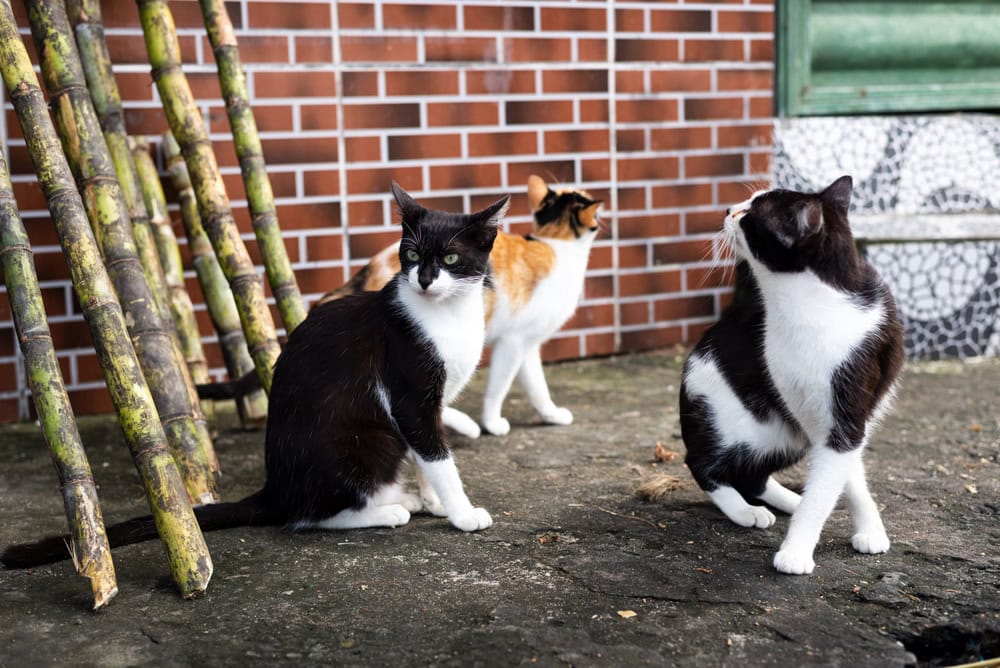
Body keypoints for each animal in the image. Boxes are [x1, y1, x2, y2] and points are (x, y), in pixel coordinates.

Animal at [1, 184, 508, 568]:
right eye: (412, 252)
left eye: (451, 259)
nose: (424, 279)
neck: (444, 315)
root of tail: (274, 487)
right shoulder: (408, 394)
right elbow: (436, 455)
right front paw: (462, 513)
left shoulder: (430, 404)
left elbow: (428, 457)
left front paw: (437, 502)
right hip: (367, 444)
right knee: (303, 516)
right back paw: (389, 511)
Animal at [320, 175, 600, 440]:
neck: (554, 243)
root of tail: (366, 272)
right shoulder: (512, 341)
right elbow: (499, 385)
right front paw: (492, 423)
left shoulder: (527, 343)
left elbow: (536, 384)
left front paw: (550, 414)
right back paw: (466, 426)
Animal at [680, 176, 908, 576]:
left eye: (749, 215)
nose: (728, 209)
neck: (812, 304)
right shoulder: (799, 400)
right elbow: (835, 474)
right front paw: (798, 551)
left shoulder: (845, 413)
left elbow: (841, 473)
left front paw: (865, 528)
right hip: (735, 419)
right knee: (701, 461)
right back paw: (744, 510)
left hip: (783, 435)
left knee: (752, 474)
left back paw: (782, 501)